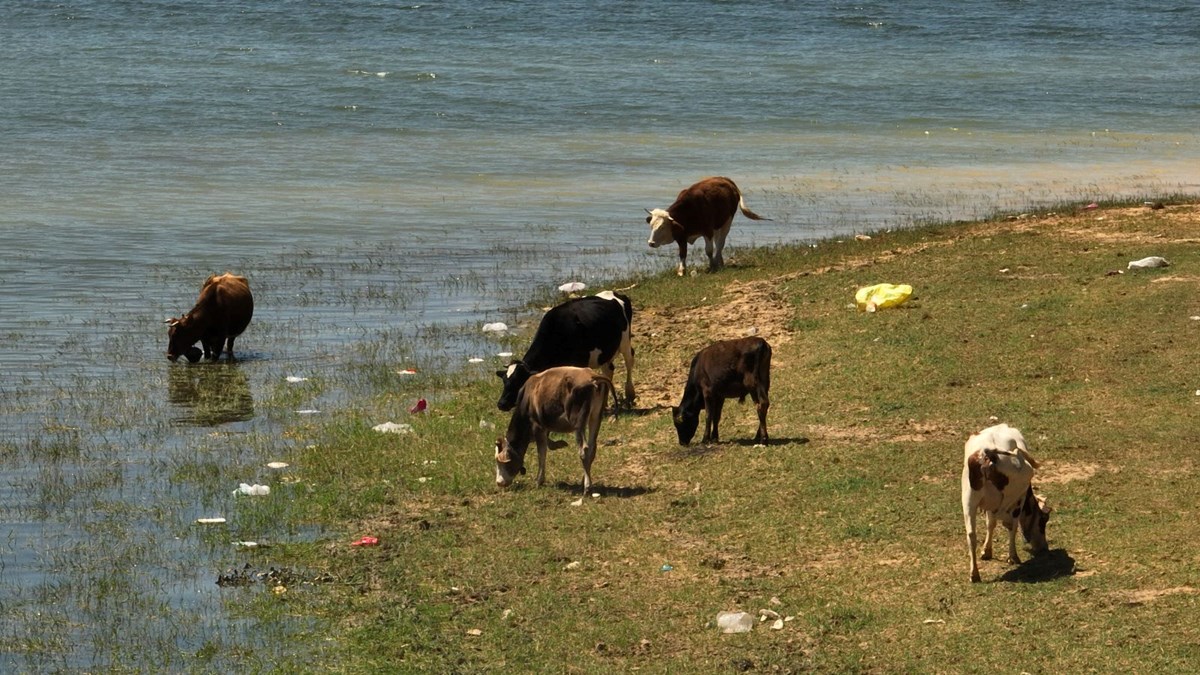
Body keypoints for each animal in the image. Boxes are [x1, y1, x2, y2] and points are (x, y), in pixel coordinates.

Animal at [955, 422, 1051, 581]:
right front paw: (1012, 556)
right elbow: (1012, 526)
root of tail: (988, 454)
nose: (1044, 547)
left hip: (968, 500)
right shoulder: (1018, 499)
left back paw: (974, 574)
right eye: (1043, 520)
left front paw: (986, 551)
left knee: (971, 535)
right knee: (1008, 525)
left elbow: (990, 524)